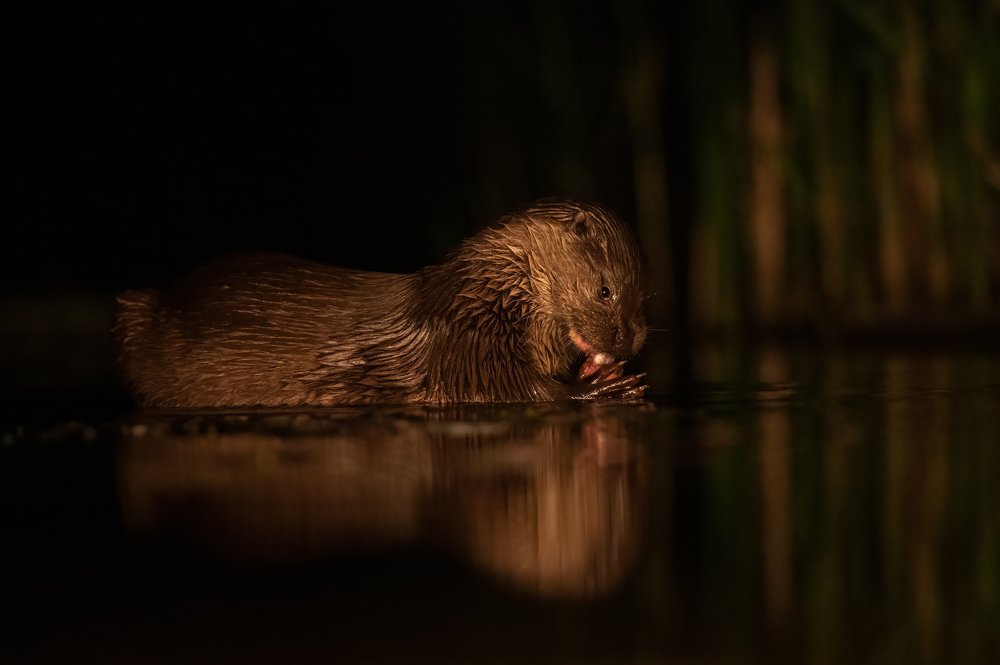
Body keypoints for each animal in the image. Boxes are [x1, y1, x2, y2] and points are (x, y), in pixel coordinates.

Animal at [114, 199, 648, 407]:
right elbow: (511, 389)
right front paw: (603, 387)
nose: (626, 341)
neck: (484, 294)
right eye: (604, 290)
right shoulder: (461, 341)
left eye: (642, 300)